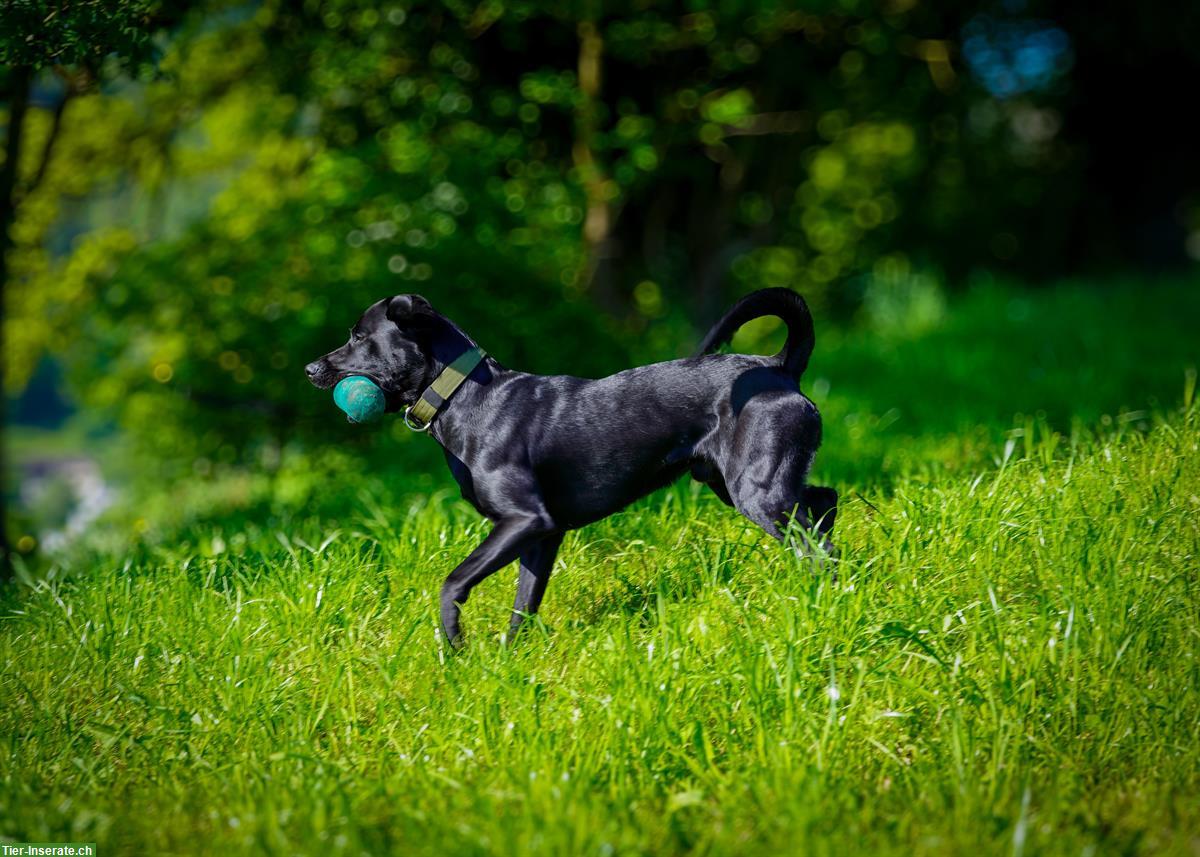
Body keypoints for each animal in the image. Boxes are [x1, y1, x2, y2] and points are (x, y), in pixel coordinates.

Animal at [304, 286, 840, 643]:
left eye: (358, 337)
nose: (310, 369)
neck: (465, 397)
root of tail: (779, 368)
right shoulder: (542, 536)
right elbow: (524, 603)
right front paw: (509, 658)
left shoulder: (525, 520)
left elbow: (453, 581)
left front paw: (454, 641)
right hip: (741, 483)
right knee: (824, 502)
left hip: (757, 491)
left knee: (816, 541)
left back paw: (825, 593)